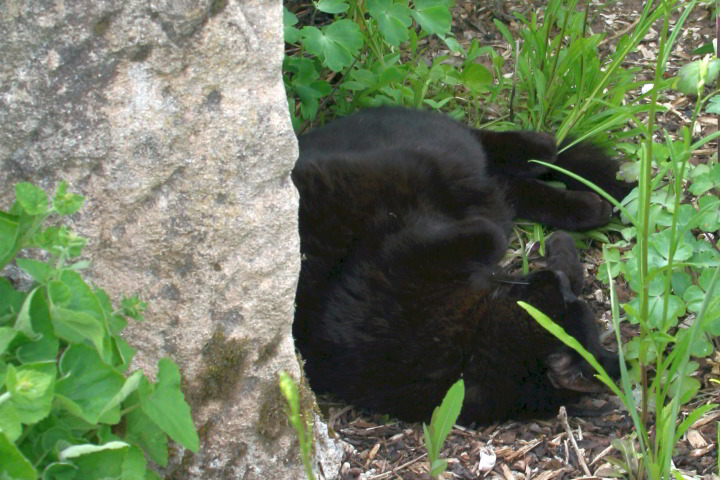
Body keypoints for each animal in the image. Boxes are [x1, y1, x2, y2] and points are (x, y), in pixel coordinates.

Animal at [292, 108, 632, 424]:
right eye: (559, 295)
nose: (551, 276)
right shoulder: (408, 250)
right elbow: (490, 233)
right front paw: (558, 247)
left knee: (499, 178)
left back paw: (582, 199)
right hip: (439, 154)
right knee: (479, 149)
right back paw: (547, 153)